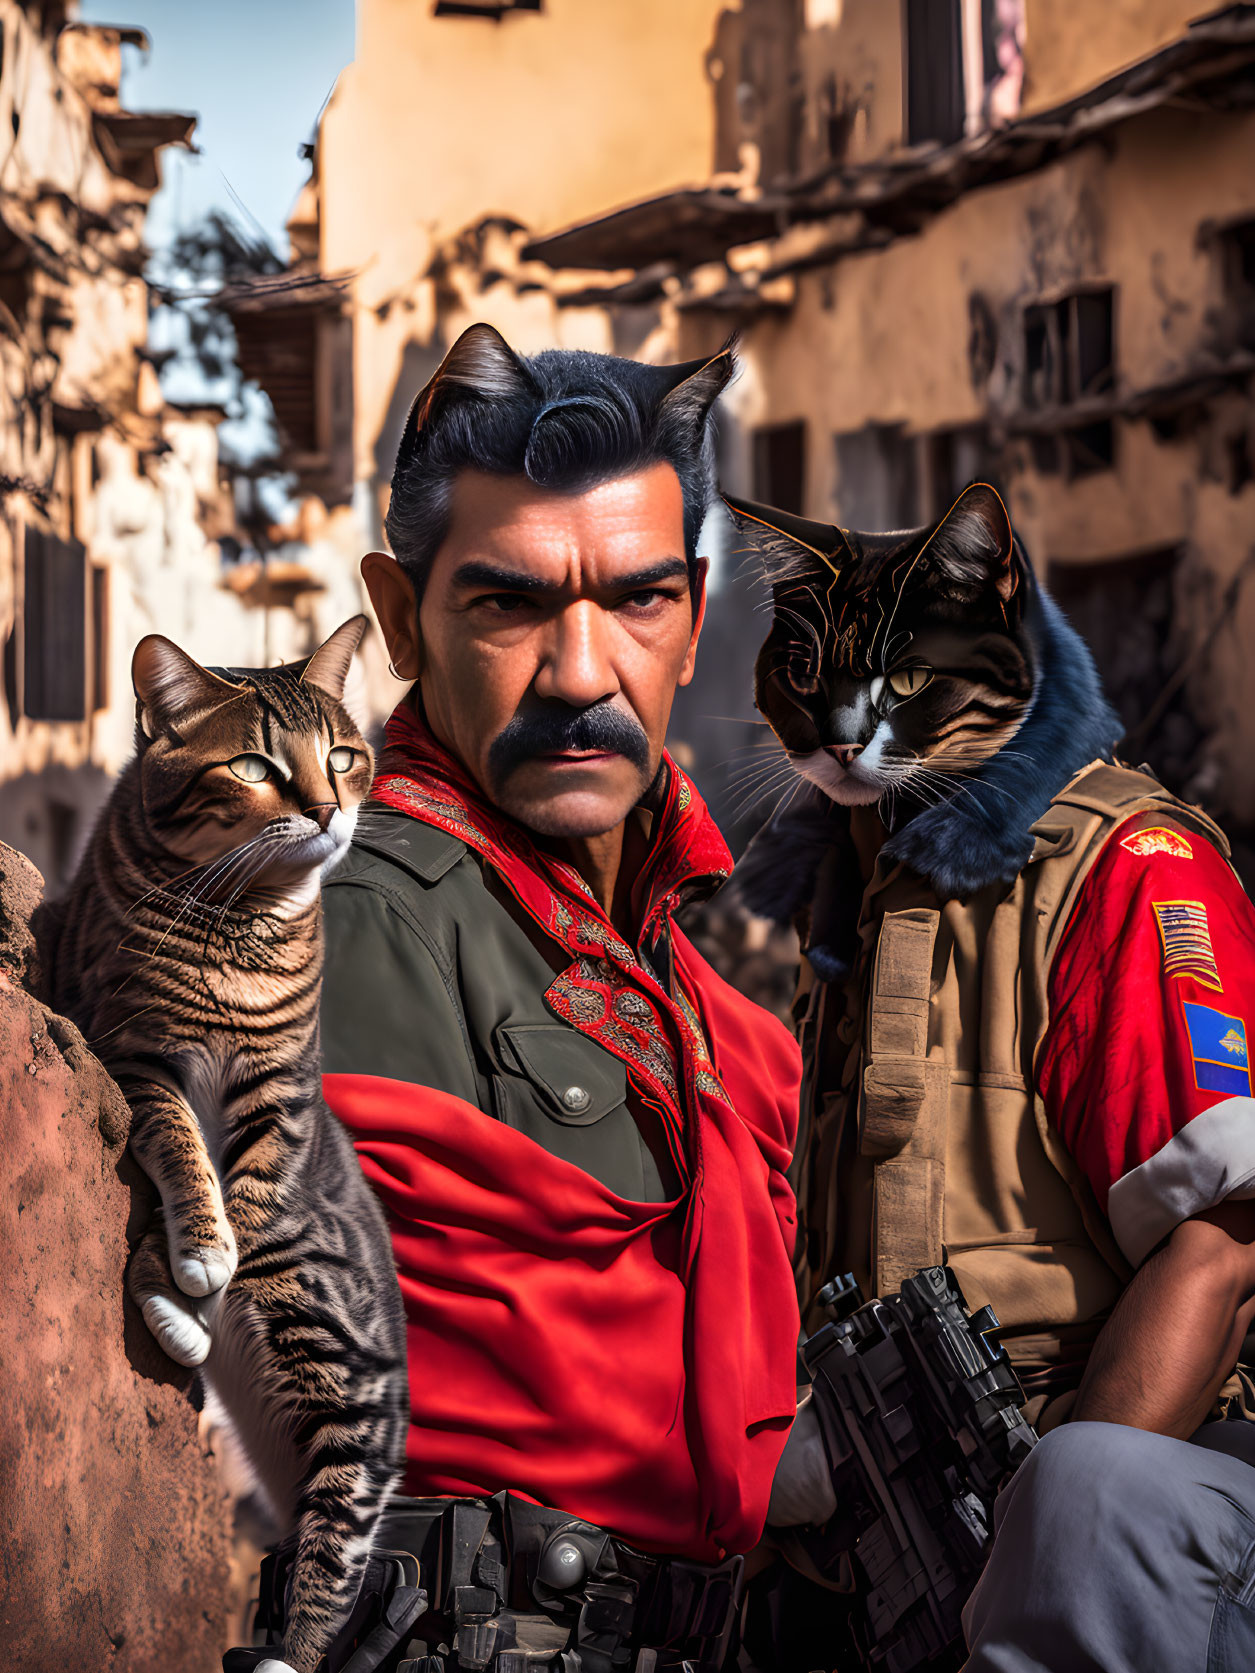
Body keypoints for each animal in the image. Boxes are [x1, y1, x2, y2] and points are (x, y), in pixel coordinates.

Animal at [35, 619, 408, 1673]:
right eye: (253, 767)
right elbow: (179, 1146)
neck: (242, 922)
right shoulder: (131, 1049)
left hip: (345, 1386)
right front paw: (190, 1272)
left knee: (338, 1542)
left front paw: (193, 1278)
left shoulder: (280, 1088)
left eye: (340, 756)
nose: (326, 808)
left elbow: (249, 1190)